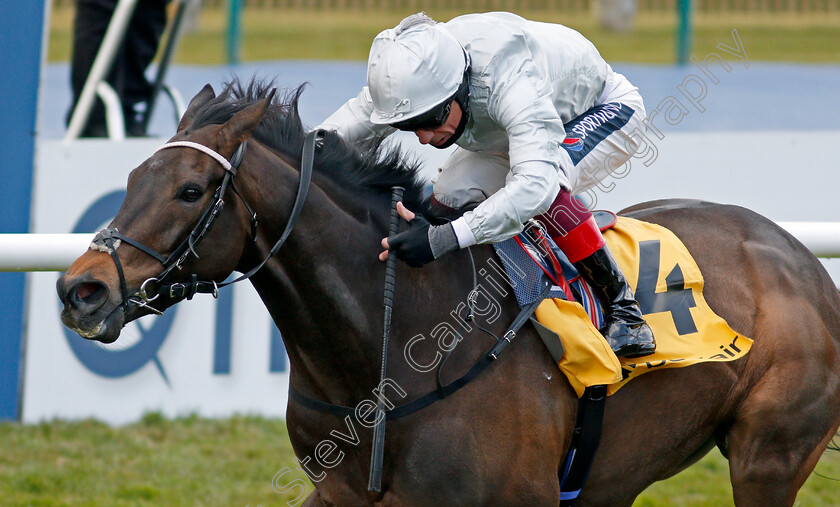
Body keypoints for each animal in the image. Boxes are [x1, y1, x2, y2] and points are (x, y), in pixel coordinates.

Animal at [57, 81, 840, 506]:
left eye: (191, 190)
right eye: (131, 178)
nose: (79, 290)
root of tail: (803, 260)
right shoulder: (342, 492)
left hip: (768, 455)